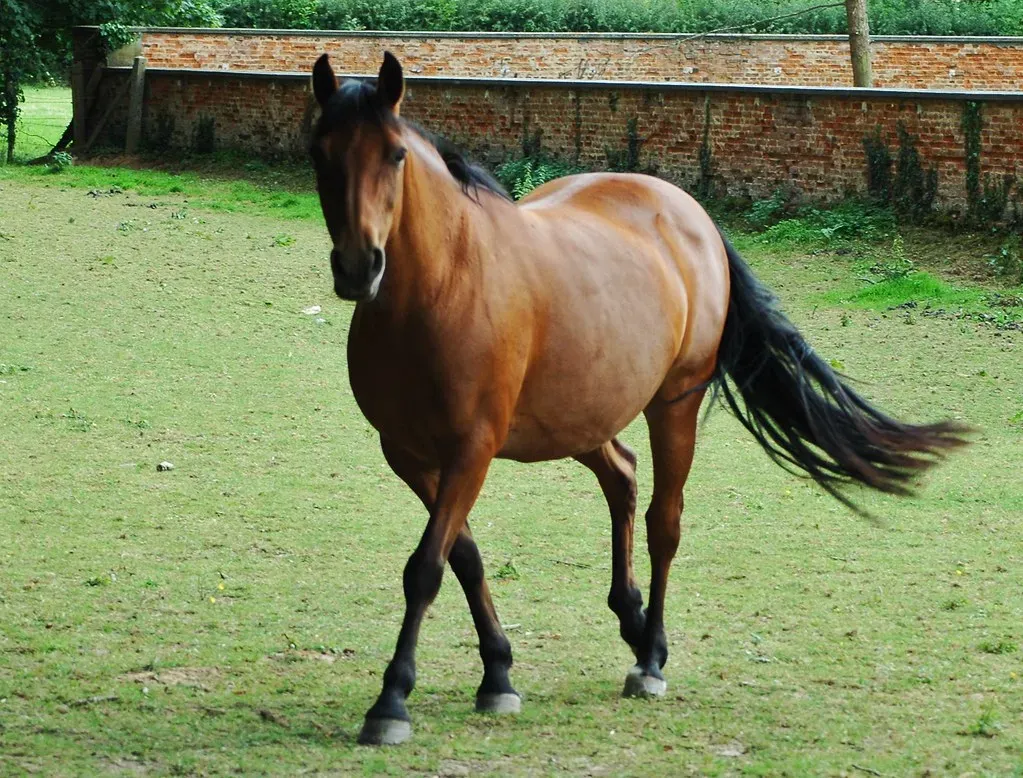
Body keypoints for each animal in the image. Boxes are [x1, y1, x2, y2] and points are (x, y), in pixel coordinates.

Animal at [307, 52, 968, 745]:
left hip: (672, 404)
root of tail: (689, 214)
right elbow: (463, 556)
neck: (442, 286)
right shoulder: (409, 455)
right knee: (621, 476)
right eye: (320, 153)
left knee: (663, 523)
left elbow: (427, 567)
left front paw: (391, 701)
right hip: (579, 415)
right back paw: (634, 621)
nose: (358, 266)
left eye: (395, 154)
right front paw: (498, 672)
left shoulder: (471, 451)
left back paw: (649, 657)